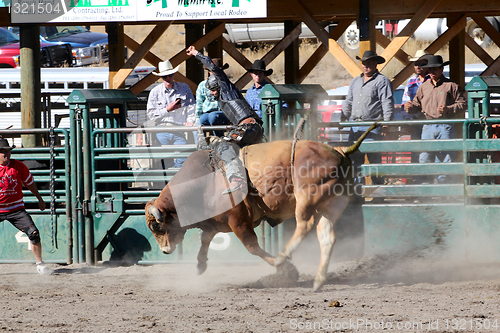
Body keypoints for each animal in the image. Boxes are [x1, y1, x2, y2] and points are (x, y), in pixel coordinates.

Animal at [146, 122, 378, 290]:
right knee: (327, 237)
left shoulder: (238, 220)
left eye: (157, 226)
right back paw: (318, 280)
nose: (165, 251)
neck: (204, 180)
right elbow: (205, 240)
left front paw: (285, 269)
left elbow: (251, 246)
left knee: (304, 225)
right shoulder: (215, 223)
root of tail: (340, 151)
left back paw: (283, 257)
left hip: (307, 197)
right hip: (332, 204)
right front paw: (200, 265)